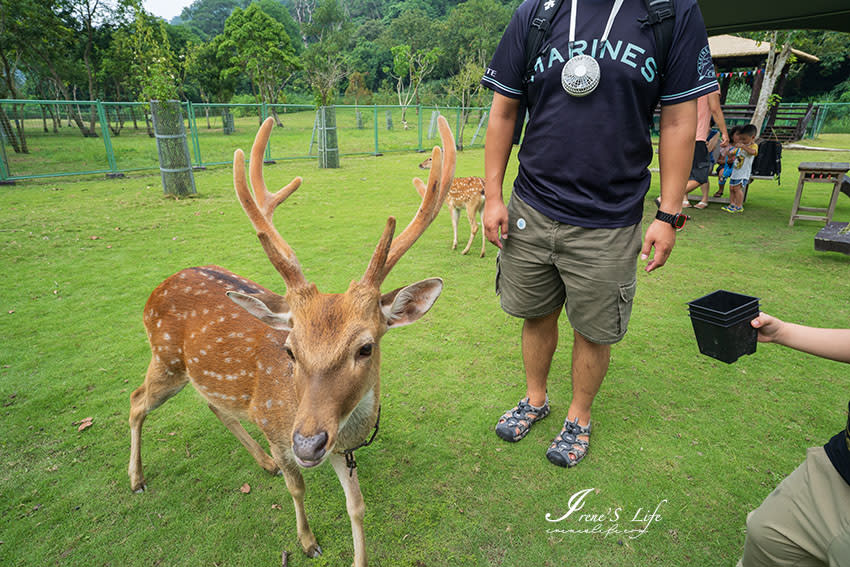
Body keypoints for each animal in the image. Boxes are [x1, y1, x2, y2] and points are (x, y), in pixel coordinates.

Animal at [126, 116, 454, 567]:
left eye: (365, 347)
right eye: (290, 350)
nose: (308, 443)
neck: (348, 431)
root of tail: (155, 290)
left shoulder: (340, 449)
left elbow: (357, 506)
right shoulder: (275, 426)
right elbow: (296, 487)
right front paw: (308, 541)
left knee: (212, 402)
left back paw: (262, 463)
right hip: (166, 359)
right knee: (136, 400)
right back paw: (137, 479)